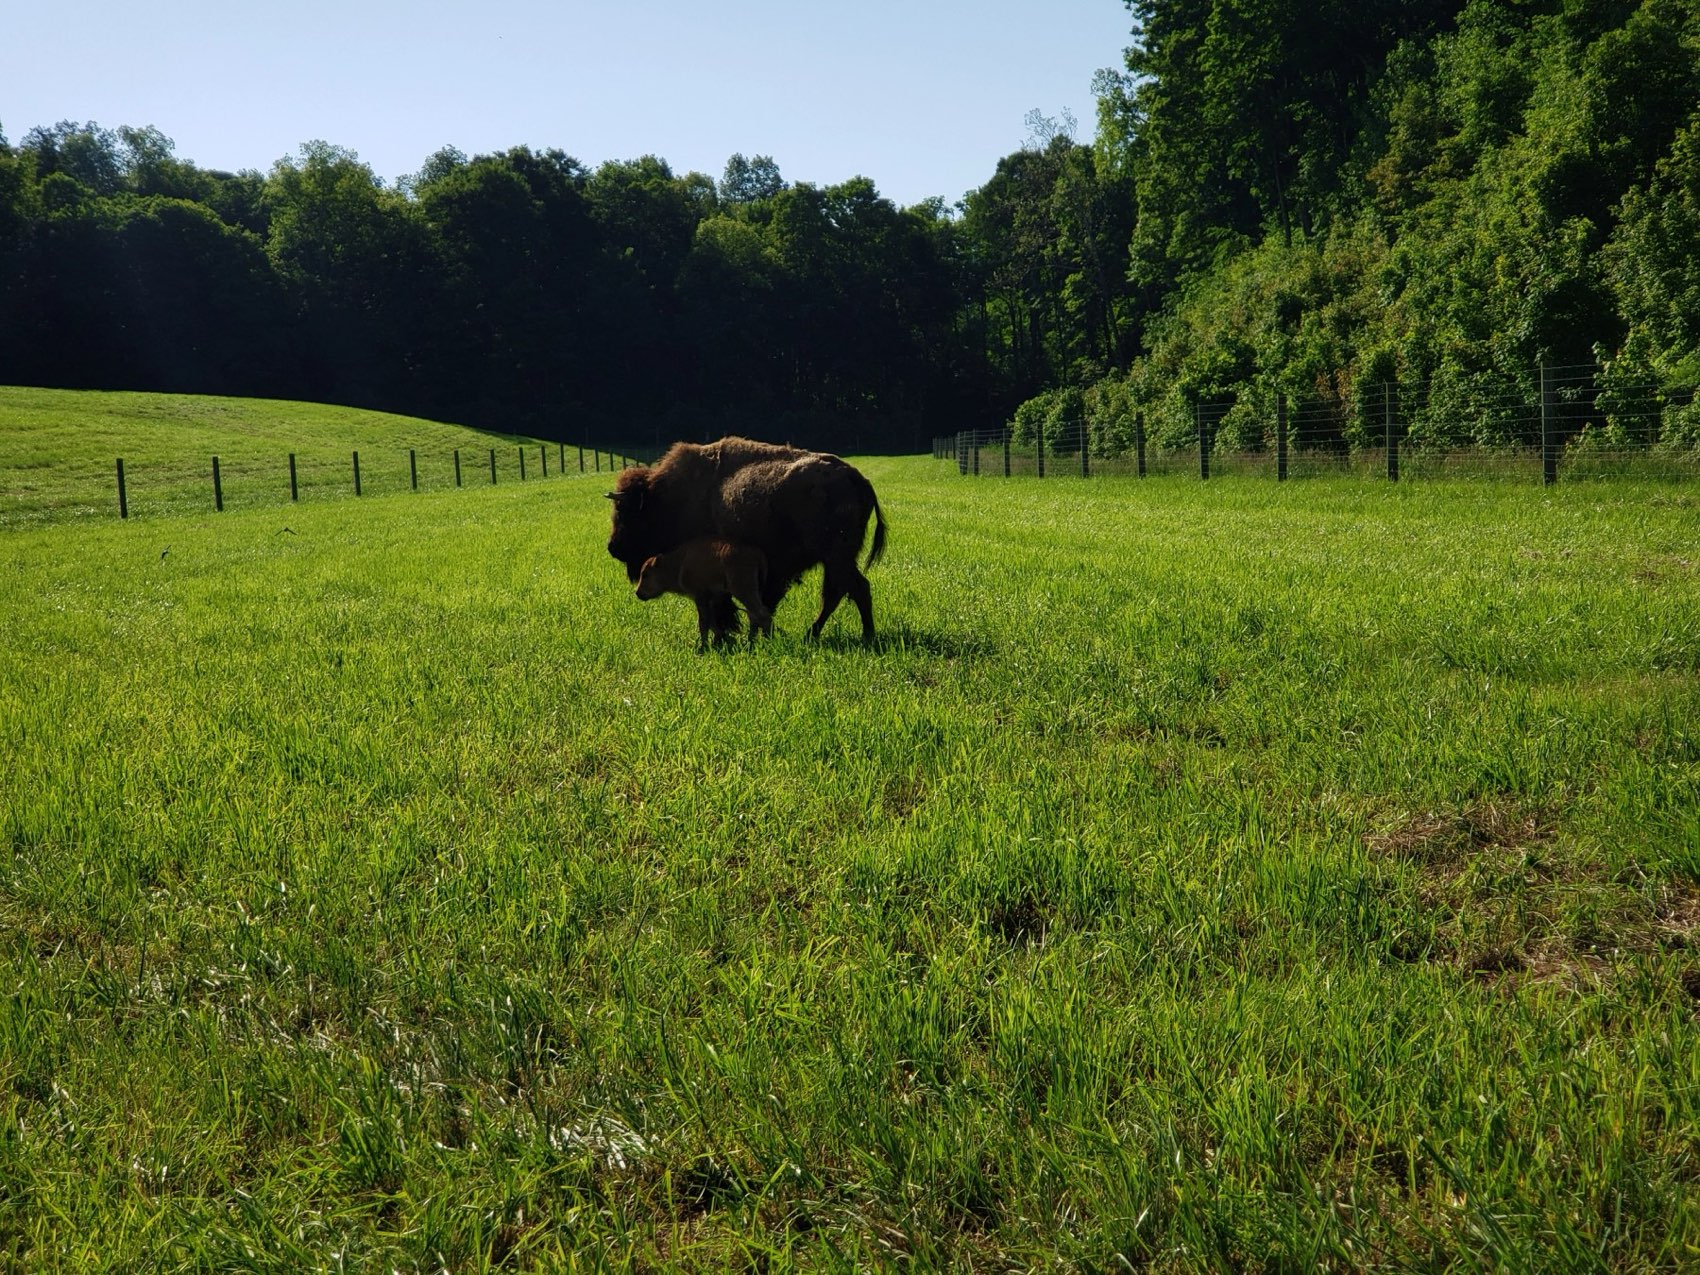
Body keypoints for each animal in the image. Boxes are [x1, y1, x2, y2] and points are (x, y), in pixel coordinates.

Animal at [607, 437, 887, 642]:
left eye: (625, 512)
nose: (613, 548)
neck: (668, 497)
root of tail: (857, 478)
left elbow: (719, 608)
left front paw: (723, 638)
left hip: (836, 557)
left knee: (855, 588)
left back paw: (865, 635)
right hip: (836, 560)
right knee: (838, 592)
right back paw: (815, 634)